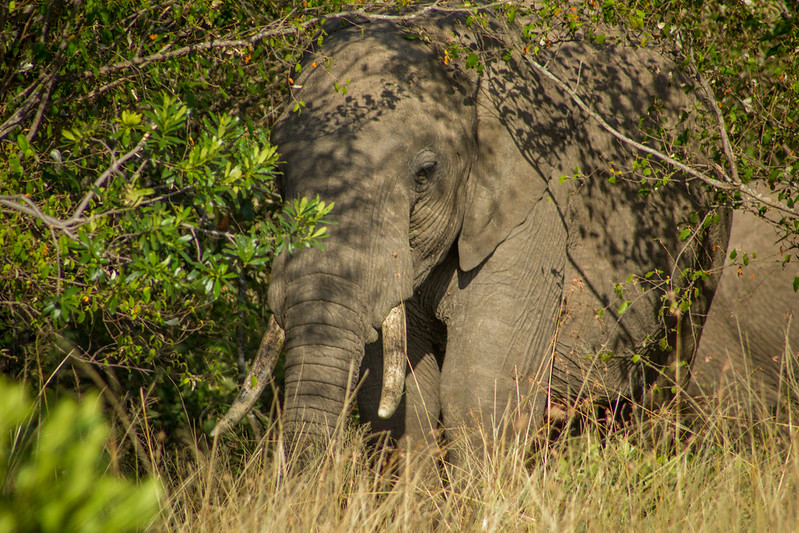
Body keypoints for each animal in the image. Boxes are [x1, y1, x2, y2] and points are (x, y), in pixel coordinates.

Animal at [211, 8, 732, 450]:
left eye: (425, 173)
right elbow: (404, 404)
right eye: (278, 175)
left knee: (670, 373)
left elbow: (478, 390)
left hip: (711, 230)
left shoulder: (533, 203)